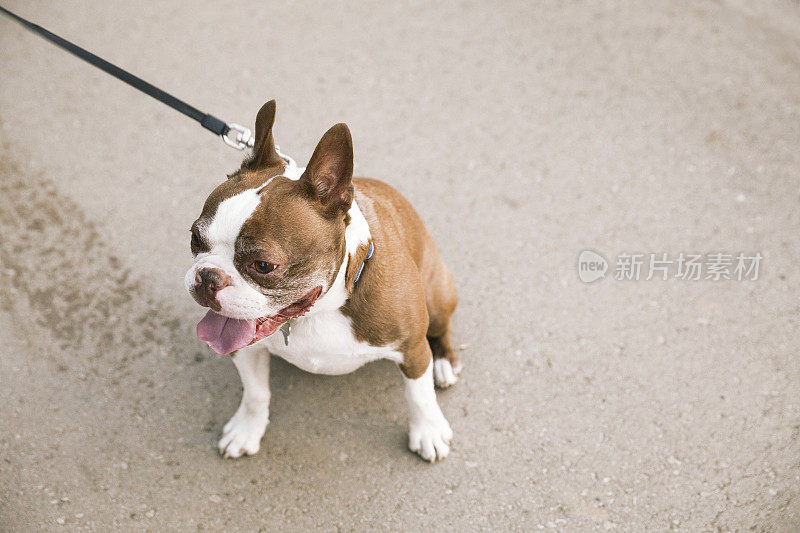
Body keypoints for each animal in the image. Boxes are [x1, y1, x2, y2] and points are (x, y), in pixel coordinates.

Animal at [185, 101, 460, 462]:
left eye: (263, 265)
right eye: (194, 238)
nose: (207, 277)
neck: (321, 309)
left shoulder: (412, 348)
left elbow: (419, 396)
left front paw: (428, 431)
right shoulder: (245, 348)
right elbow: (256, 394)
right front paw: (247, 429)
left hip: (436, 295)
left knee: (440, 331)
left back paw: (443, 363)